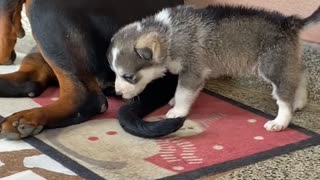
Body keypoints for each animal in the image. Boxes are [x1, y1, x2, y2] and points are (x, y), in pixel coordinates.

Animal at [108, 4, 320, 131]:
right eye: (115, 74)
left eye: (128, 76)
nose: (117, 94)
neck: (169, 34)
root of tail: (289, 22)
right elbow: (179, 91)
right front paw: (174, 101)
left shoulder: (193, 71)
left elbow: (183, 92)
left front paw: (178, 110)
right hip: (285, 60)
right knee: (300, 74)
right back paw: (299, 101)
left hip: (271, 65)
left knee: (284, 94)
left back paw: (280, 121)